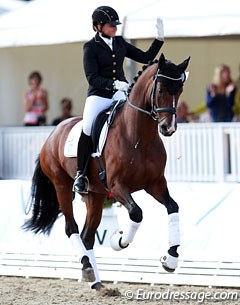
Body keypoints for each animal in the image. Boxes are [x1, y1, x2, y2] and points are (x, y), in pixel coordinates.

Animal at [23, 53, 190, 288]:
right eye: (161, 90)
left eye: (180, 90)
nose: (169, 128)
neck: (139, 136)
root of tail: (53, 133)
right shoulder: (118, 186)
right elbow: (136, 213)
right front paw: (118, 240)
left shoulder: (155, 183)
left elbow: (173, 207)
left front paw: (171, 258)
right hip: (62, 186)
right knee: (72, 228)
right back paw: (87, 268)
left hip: (96, 195)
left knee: (87, 236)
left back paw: (95, 280)